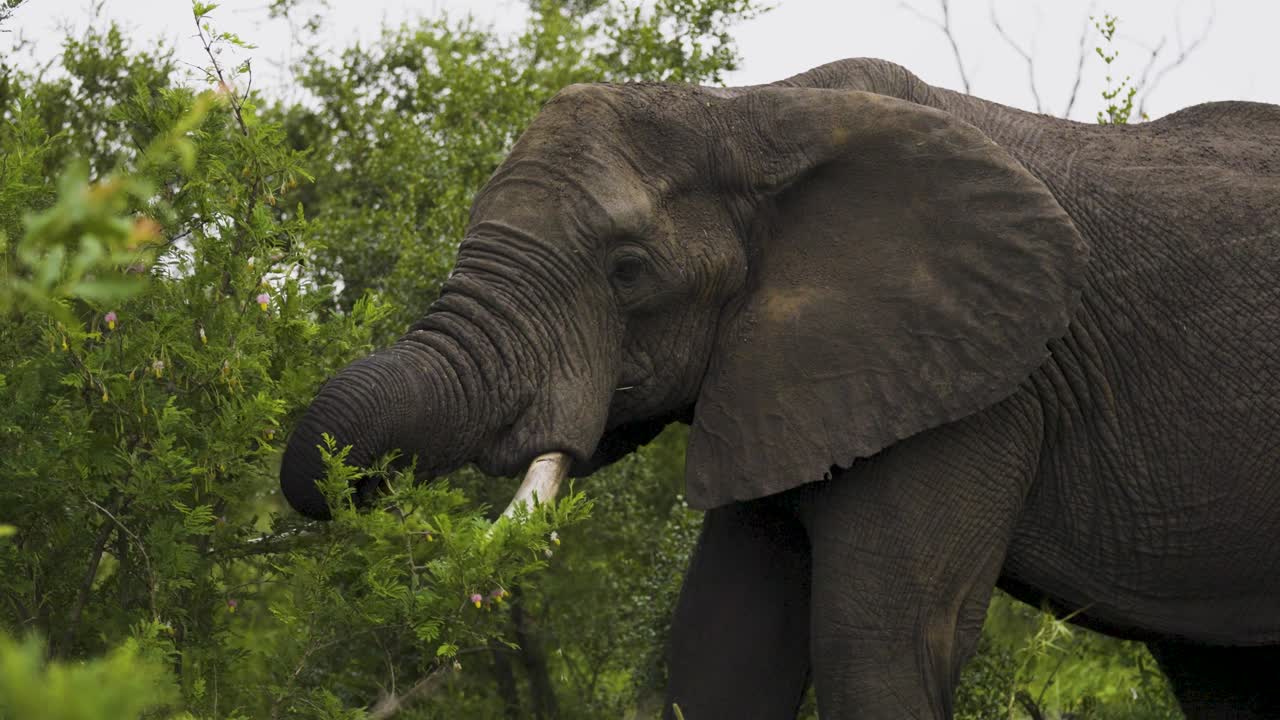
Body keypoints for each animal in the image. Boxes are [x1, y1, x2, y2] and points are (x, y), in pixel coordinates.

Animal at [279, 58, 1280, 718]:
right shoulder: (786, 379)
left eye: (629, 272)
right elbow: (721, 649)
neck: (750, 110)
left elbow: (878, 644)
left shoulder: (983, 384)